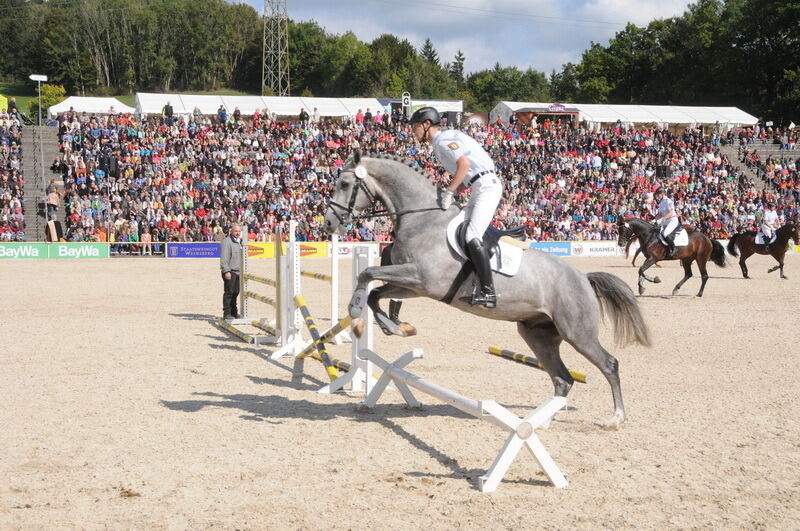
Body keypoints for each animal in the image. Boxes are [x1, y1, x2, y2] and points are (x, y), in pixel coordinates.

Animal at [324, 153, 648, 428]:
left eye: (345, 184)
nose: (329, 222)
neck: (422, 219)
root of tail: (582, 277)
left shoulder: (422, 280)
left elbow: (367, 275)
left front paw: (357, 314)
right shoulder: (414, 285)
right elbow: (375, 292)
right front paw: (397, 328)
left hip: (577, 332)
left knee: (608, 365)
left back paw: (616, 418)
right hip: (537, 334)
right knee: (562, 378)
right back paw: (541, 421)